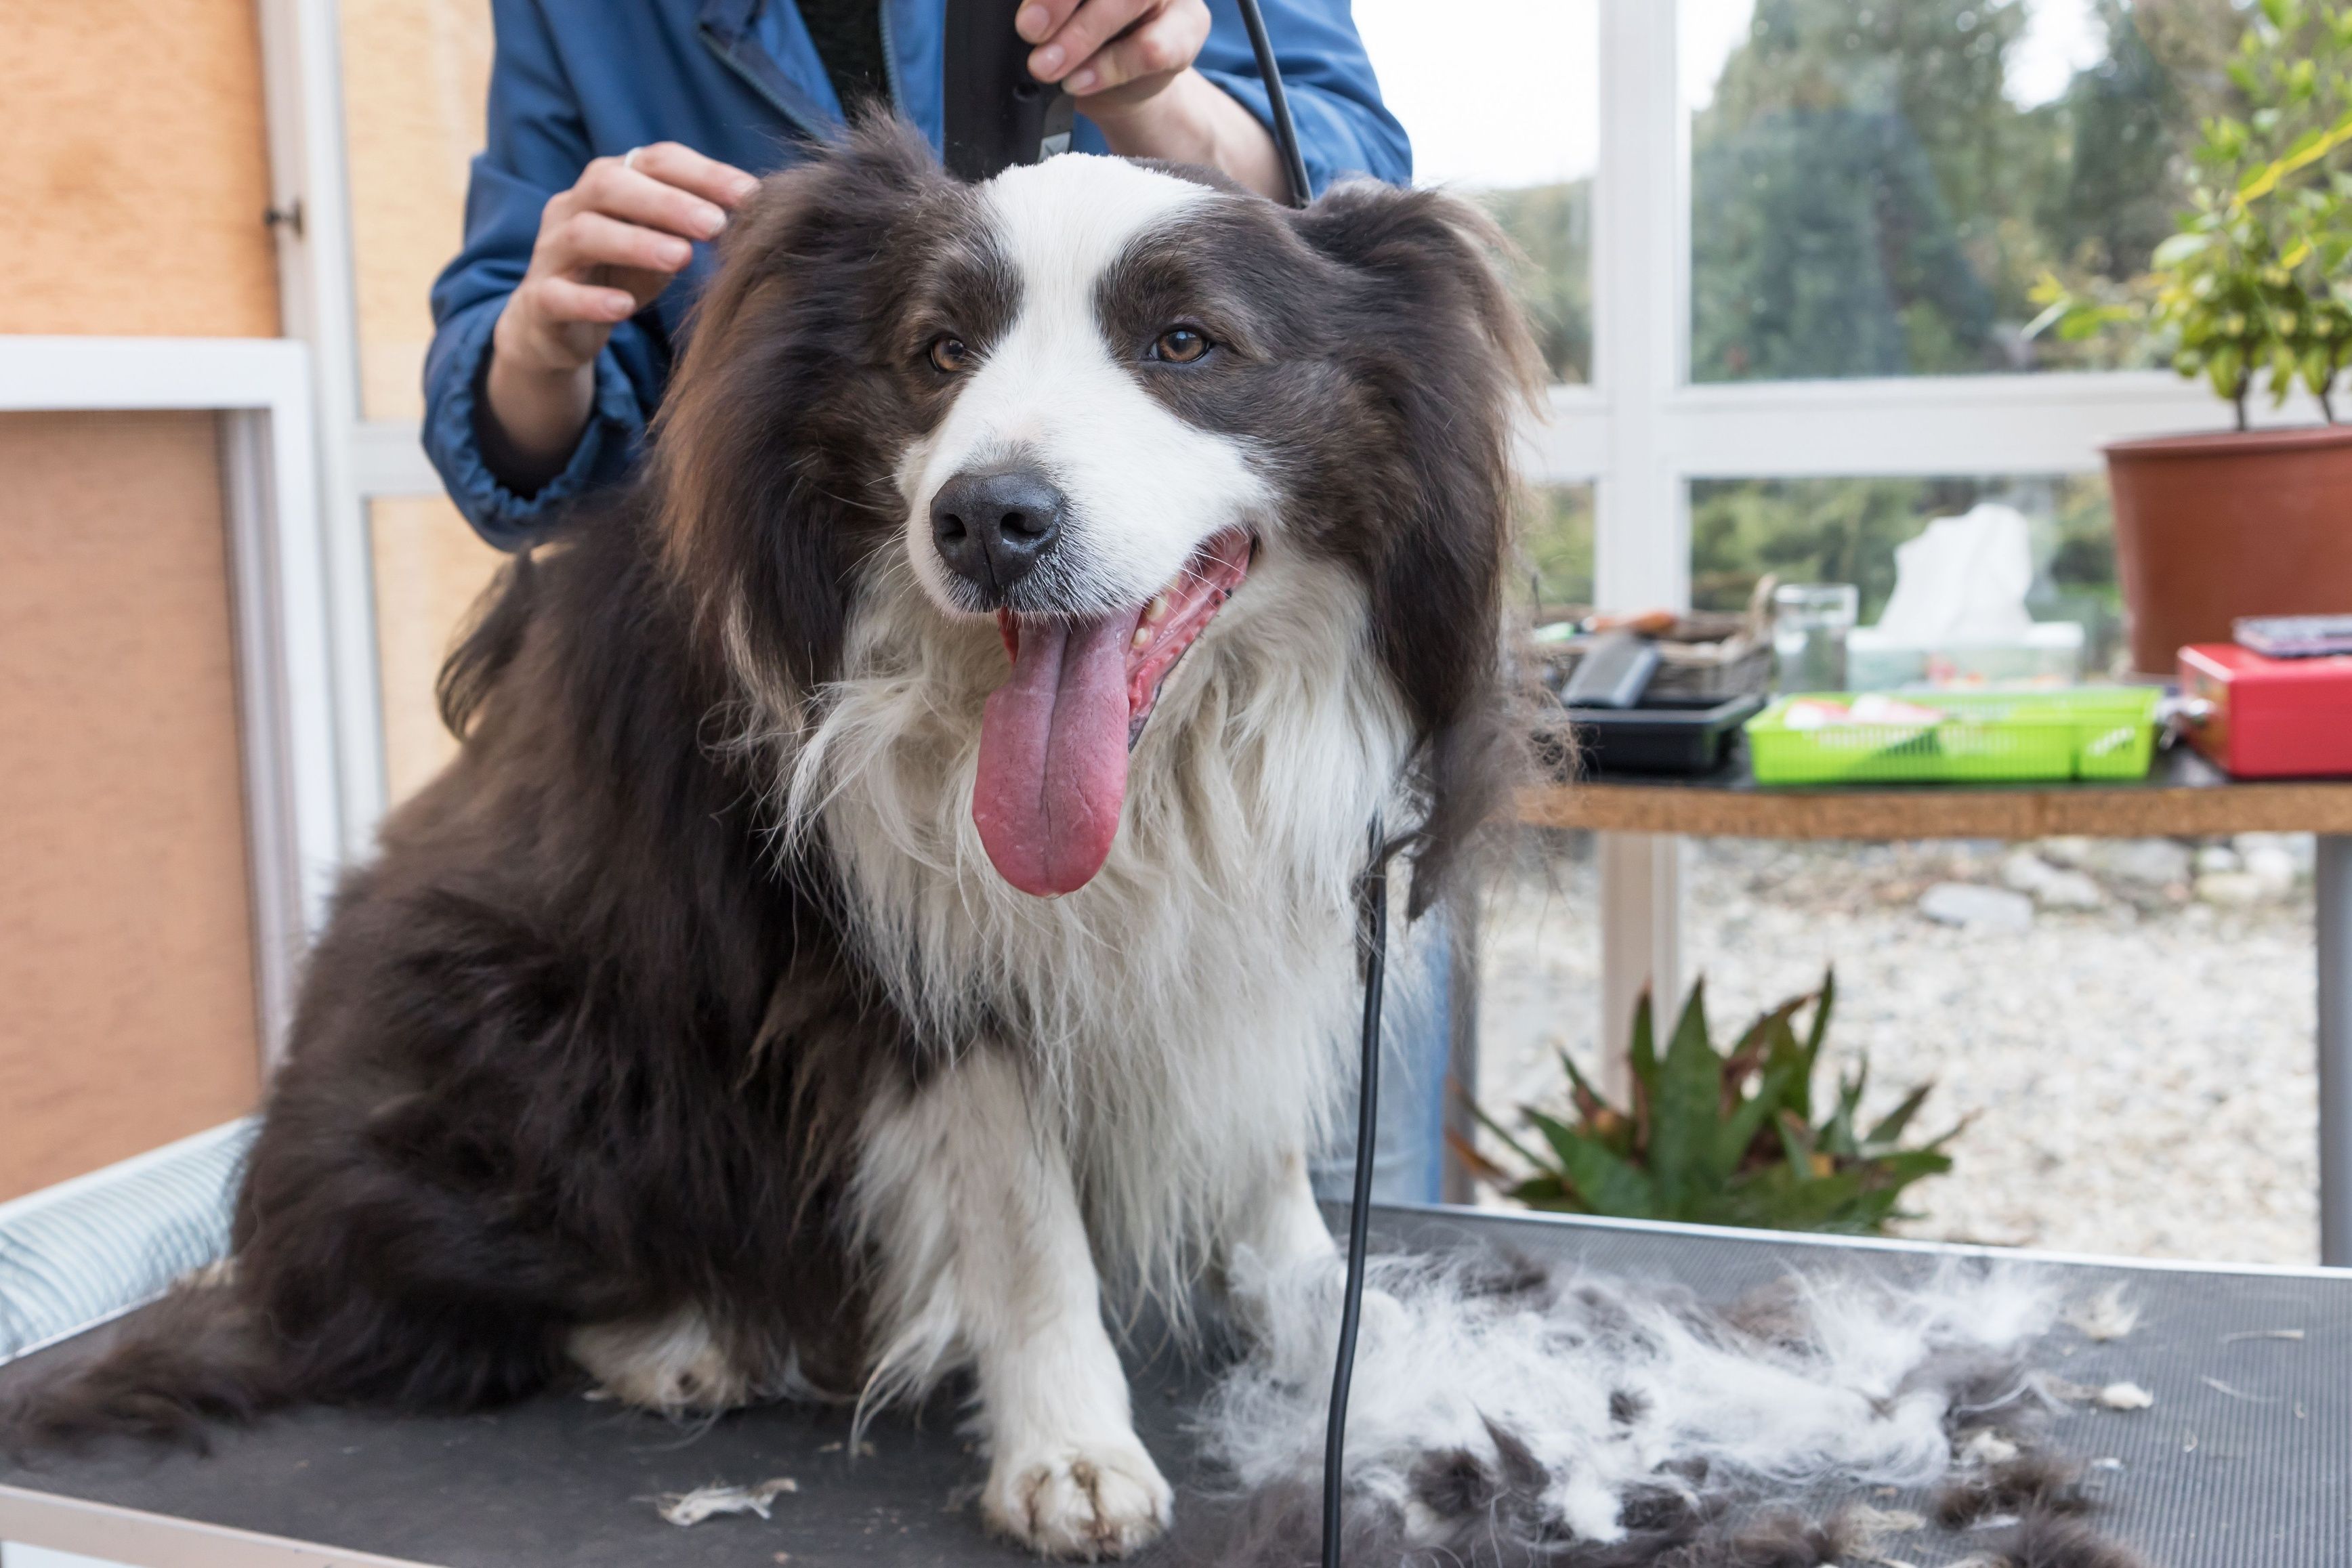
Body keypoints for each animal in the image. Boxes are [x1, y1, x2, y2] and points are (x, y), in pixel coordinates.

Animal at [18, 123, 1533, 1561]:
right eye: (935, 352)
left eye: (1186, 344)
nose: (986, 523)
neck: (1158, 762)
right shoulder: (900, 950)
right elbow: (1022, 1215)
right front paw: (1069, 1451)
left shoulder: (1257, 902)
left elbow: (1261, 1138)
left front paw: (1343, 1342)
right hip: (525, 1016)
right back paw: (675, 1336)